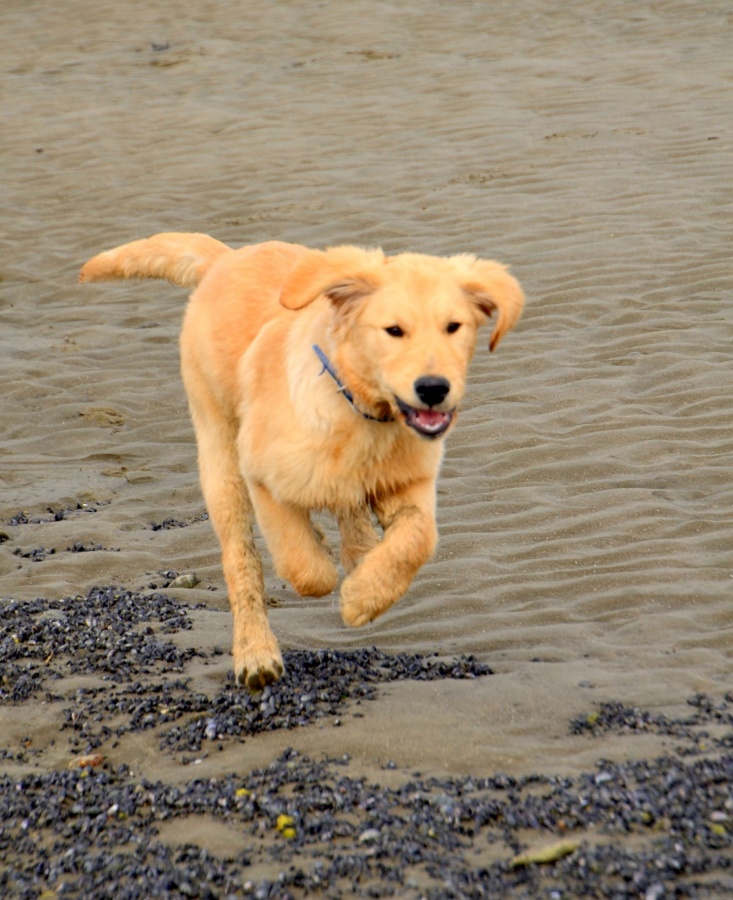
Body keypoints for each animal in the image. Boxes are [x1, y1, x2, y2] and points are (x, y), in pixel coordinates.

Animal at [81, 234, 520, 688]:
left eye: (454, 327)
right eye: (394, 330)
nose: (434, 389)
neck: (362, 412)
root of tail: (227, 259)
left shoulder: (410, 483)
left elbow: (417, 539)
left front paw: (365, 596)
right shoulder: (262, 475)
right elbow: (303, 566)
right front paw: (335, 576)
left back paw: (356, 552)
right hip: (219, 454)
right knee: (241, 559)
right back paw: (256, 653)